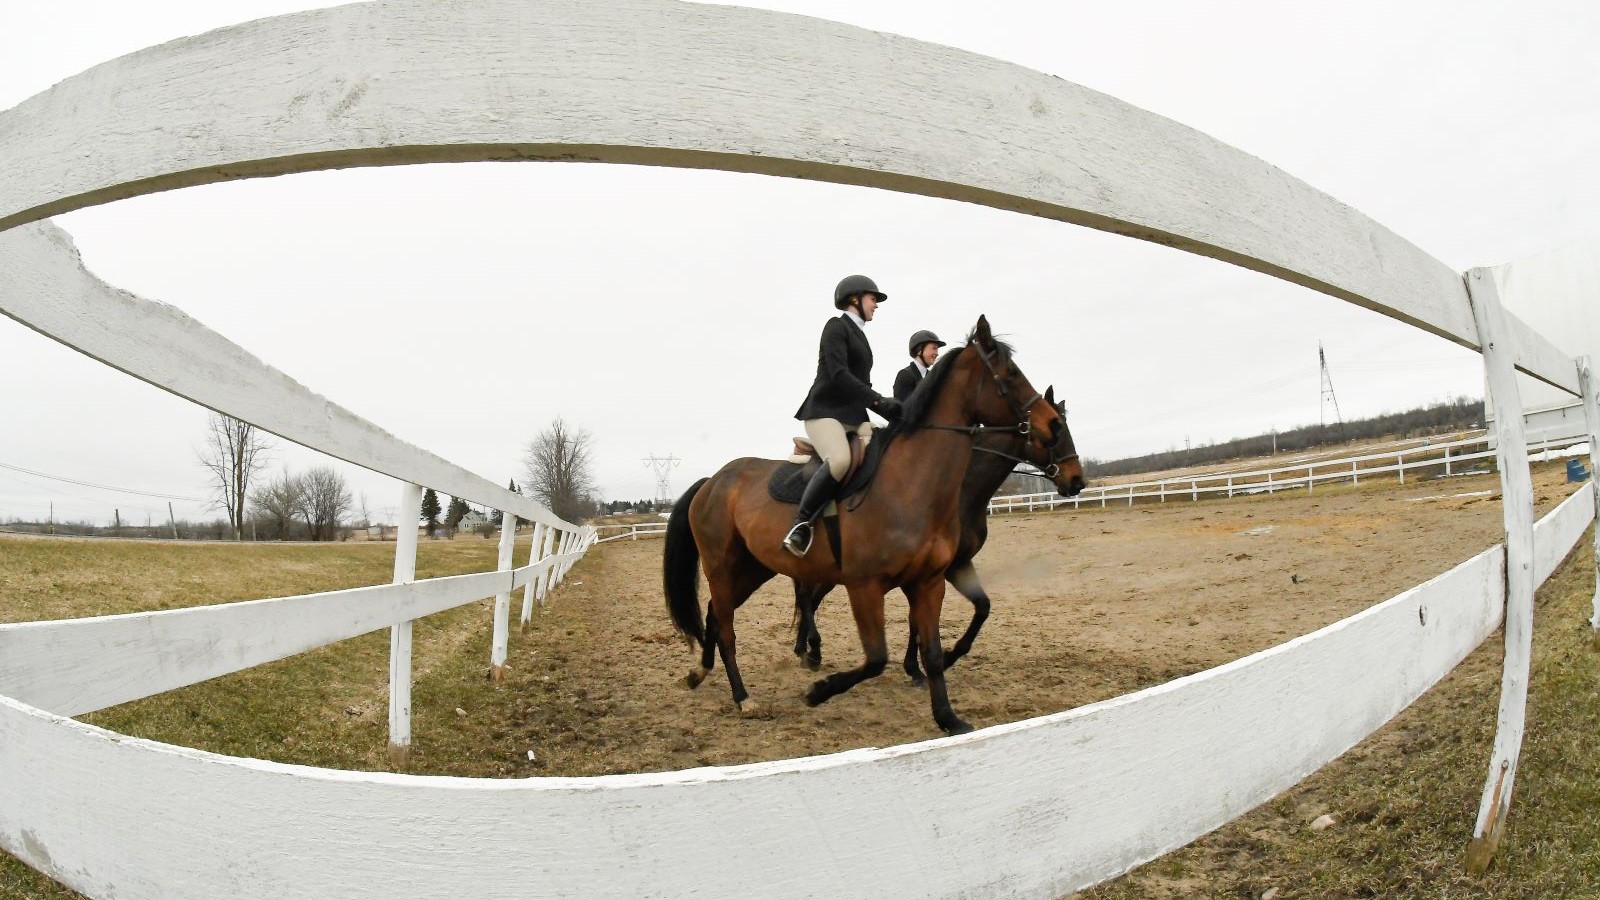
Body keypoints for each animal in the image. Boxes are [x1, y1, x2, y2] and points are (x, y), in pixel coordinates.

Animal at [662, 313, 1088, 730]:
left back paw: (702, 673)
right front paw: (820, 691)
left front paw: (947, 716)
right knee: (731, 625)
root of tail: (713, 480)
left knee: (719, 612)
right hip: (723, 566)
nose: (1076, 480)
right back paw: (745, 695)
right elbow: (876, 657)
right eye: (1011, 373)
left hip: (754, 567)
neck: (915, 483)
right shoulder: (866, 585)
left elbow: (940, 642)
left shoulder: (931, 579)